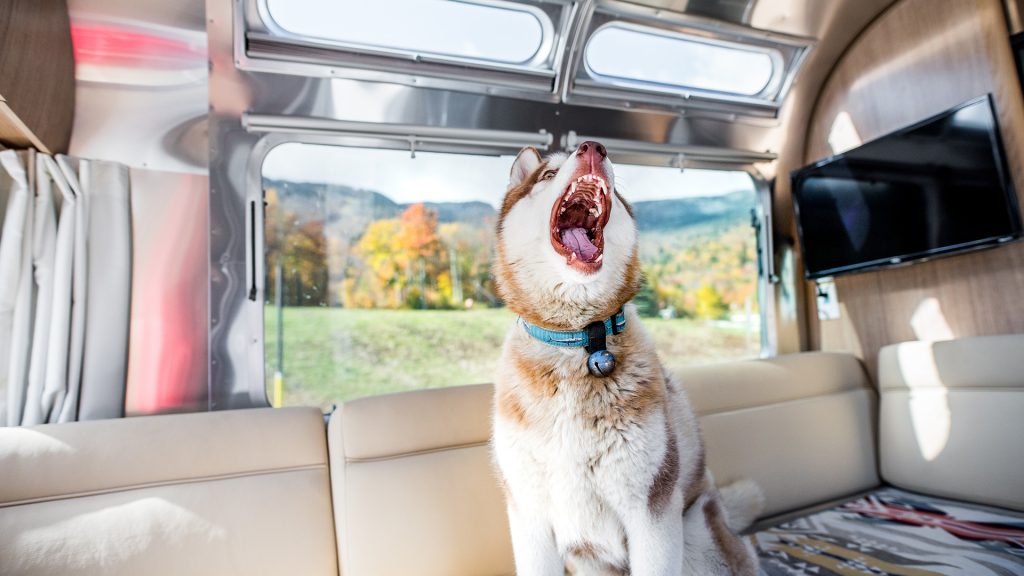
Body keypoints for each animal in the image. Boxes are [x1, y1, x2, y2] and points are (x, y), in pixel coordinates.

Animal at [491, 142, 765, 573]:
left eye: (616, 192)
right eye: (547, 175)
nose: (592, 148)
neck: (580, 339)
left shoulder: (651, 514)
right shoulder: (530, 519)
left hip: (694, 537)